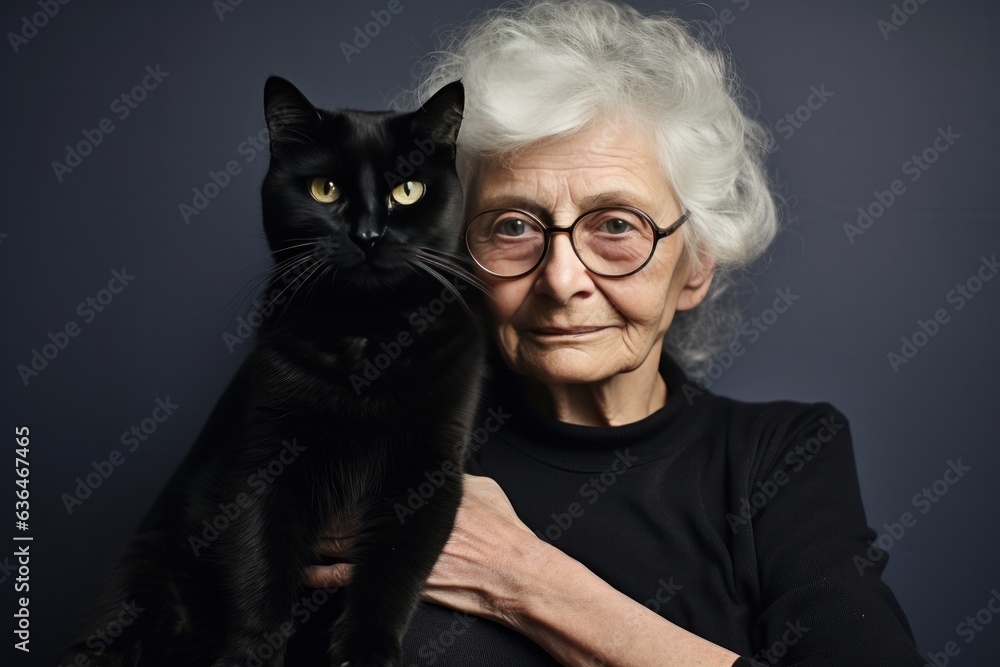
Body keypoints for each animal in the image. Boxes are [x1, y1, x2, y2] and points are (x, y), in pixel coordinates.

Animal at [59, 75, 488, 667]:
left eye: (408, 192)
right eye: (325, 189)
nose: (368, 234)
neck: (365, 338)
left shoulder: (428, 469)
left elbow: (393, 569)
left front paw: (366, 651)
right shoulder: (264, 460)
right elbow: (258, 567)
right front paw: (252, 655)